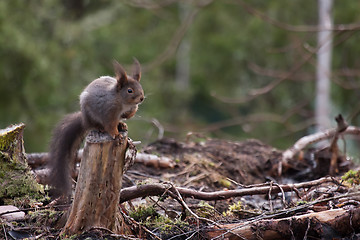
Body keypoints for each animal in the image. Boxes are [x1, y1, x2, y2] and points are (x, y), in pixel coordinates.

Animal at [48, 58, 144, 197]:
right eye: (130, 90)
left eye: (141, 87)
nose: (141, 98)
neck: (121, 101)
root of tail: (84, 120)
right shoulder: (109, 112)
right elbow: (110, 125)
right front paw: (116, 135)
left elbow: (129, 114)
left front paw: (129, 115)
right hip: (90, 117)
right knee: (96, 125)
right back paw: (102, 128)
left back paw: (122, 124)